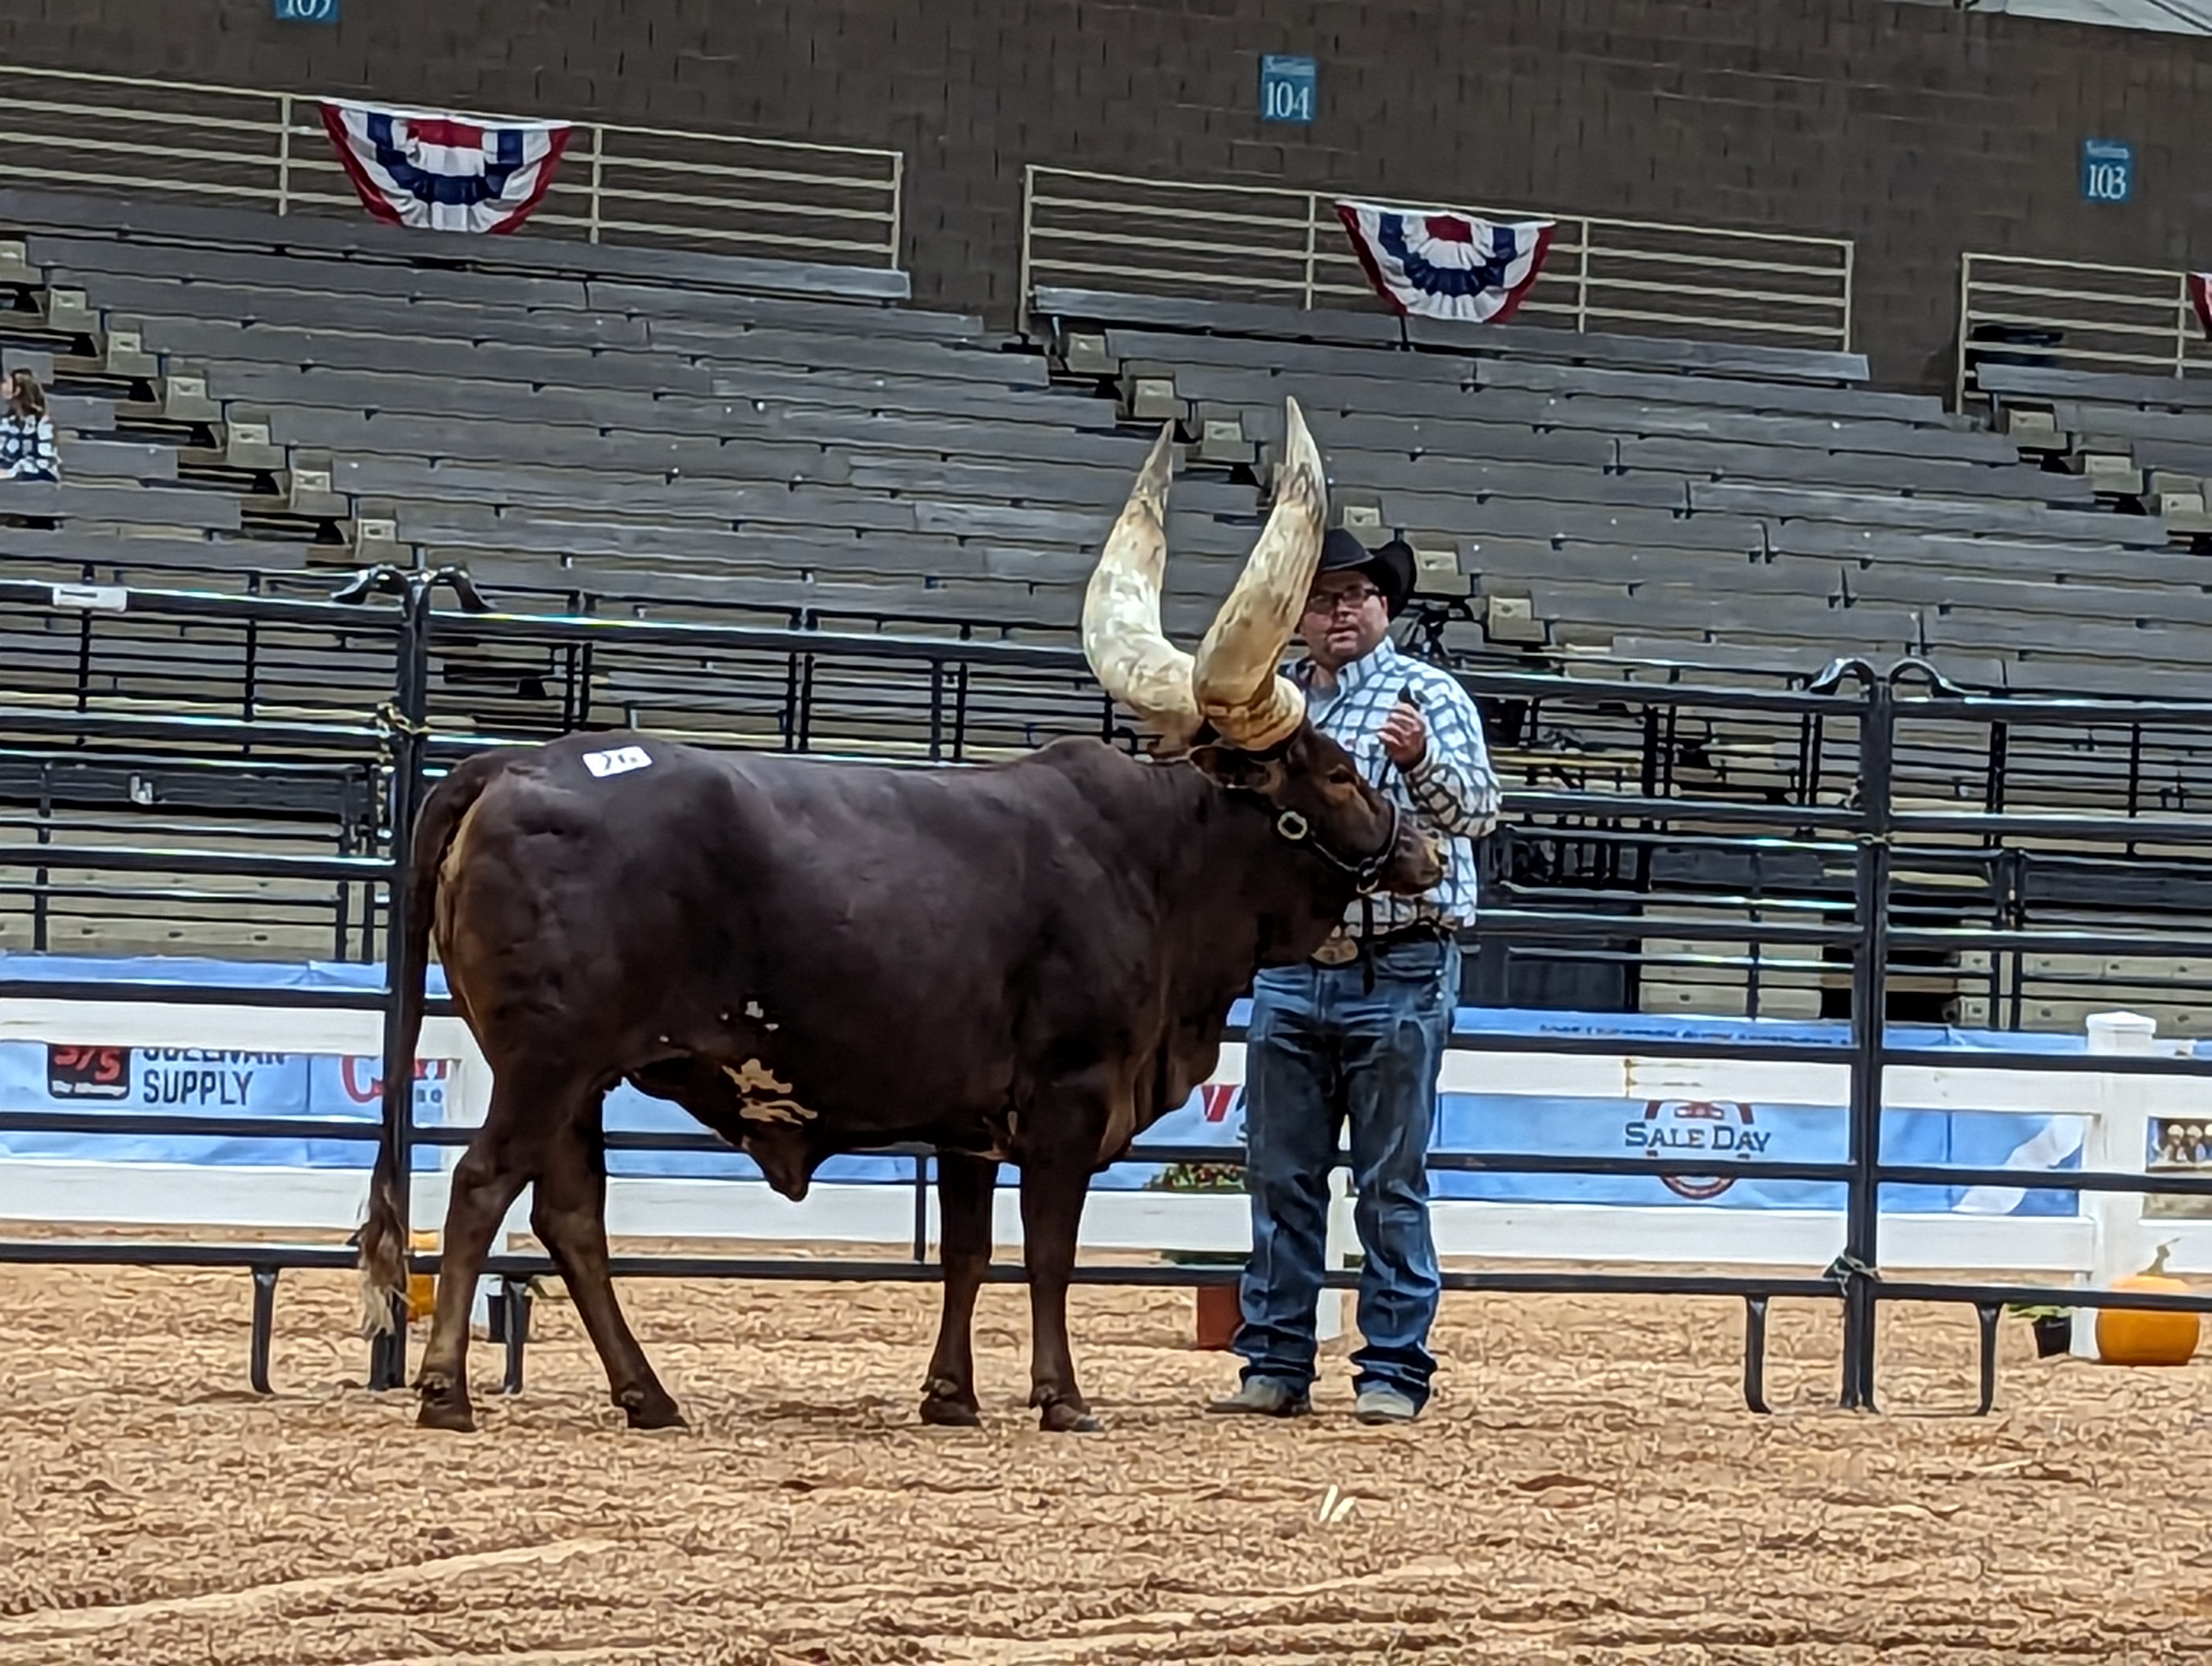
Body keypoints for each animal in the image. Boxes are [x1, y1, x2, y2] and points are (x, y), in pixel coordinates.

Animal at [361, 396, 1433, 1425]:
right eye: (1339, 773)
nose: (1419, 849)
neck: (1150, 861)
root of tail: (511, 763)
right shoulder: (1069, 1096)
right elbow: (1049, 1253)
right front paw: (1063, 1397)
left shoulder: (968, 1121)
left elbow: (967, 1252)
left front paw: (951, 1396)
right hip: (545, 1062)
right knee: (481, 1188)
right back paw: (447, 1391)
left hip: (578, 1075)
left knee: (570, 1213)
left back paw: (648, 1397)